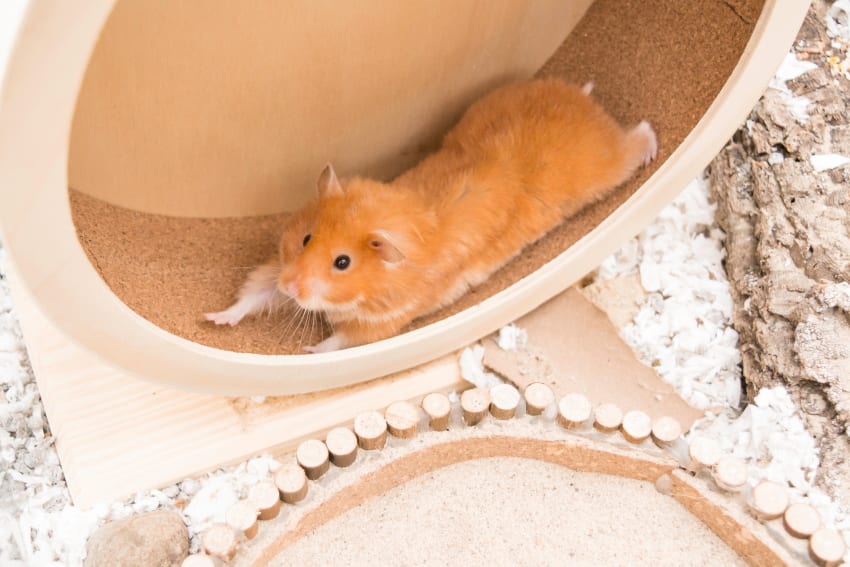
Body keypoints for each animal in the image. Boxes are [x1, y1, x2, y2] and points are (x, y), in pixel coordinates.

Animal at [278, 79, 656, 356]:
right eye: (306, 238)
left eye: (342, 263)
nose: (287, 286)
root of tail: (585, 105)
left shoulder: (385, 323)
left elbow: (342, 340)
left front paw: (309, 350)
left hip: (609, 168)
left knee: (638, 136)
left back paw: (650, 145)